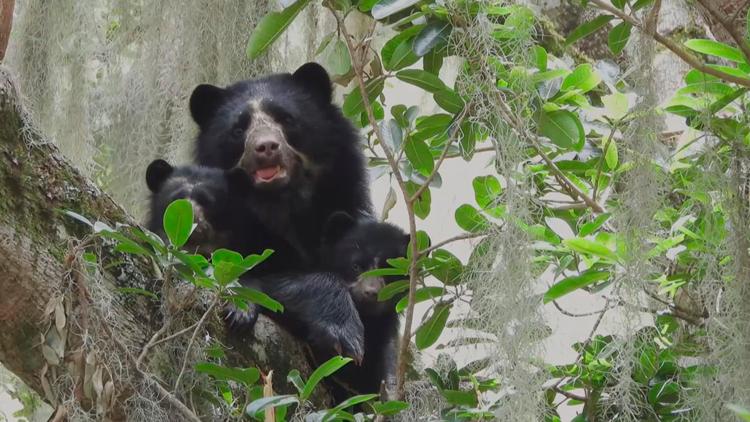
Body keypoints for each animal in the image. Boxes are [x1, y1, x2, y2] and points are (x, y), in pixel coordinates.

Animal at [238, 213, 408, 400]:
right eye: (355, 266)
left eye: (389, 272)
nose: (371, 293)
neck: (366, 318)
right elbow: (275, 290)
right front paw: (346, 340)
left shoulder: (384, 331)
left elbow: (384, 368)